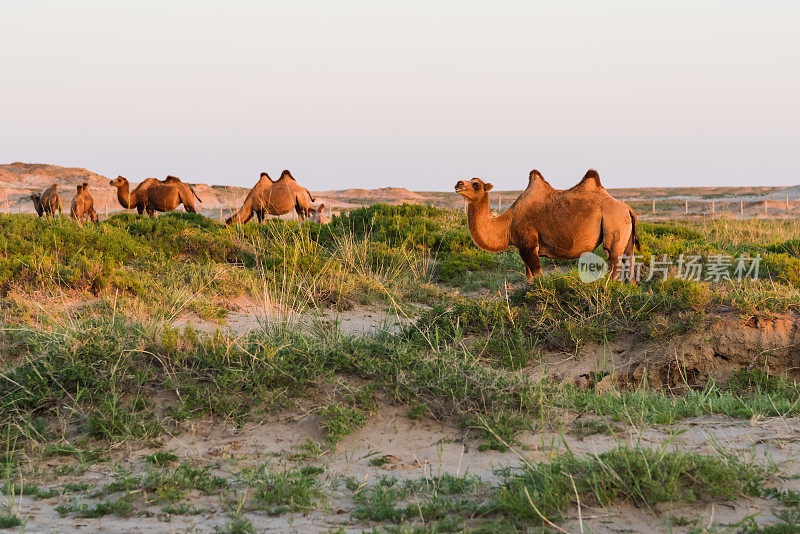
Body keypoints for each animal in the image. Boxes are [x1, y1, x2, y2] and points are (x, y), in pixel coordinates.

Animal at [460, 170, 640, 282]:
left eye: (476, 184)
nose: (458, 183)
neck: (508, 222)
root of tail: (627, 207)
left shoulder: (529, 244)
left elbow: (538, 275)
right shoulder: (524, 248)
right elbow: (529, 277)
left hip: (614, 223)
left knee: (614, 259)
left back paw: (606, 287)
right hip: (626, 234)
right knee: (629, 260)